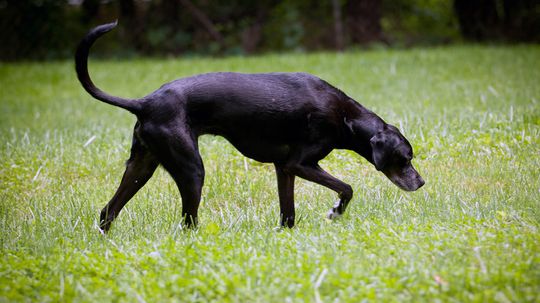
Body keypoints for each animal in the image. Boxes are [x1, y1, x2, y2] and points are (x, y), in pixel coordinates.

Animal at [74, 21, 424, 232]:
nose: (420, 183)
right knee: (187, 222)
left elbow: (288, 213)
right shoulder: (300, 163)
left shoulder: (284, 168)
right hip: (191, 170)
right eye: (405, 158)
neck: (344, 115)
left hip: (142, 166)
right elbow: (347, 188)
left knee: (108, 211)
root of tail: (144, 102)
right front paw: (336, 211)